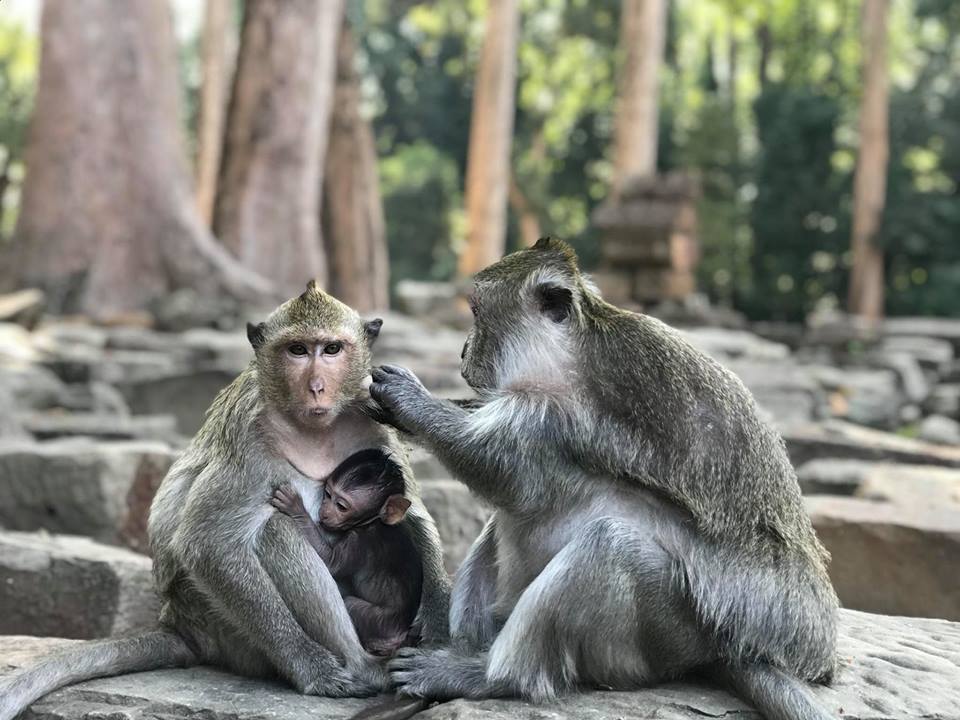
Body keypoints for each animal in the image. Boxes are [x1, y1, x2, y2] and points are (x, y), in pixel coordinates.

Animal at [270, 448, 424, 657]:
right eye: (327, 494)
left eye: (341, 506)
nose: (324, 512)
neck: (375, 521)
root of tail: (401, 633)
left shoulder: (358, 542)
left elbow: (332, 563)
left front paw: (295, 507)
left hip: (380, 623)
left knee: (352, 604)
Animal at [367, 237, 839, 720]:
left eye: (477, 312)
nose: (463, 349)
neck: (572, 356)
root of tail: (720, 653)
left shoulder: (560, 414)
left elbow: (503, 470)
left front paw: (409, 400)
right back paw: (465, 648)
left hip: (671, 635)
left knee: (609, 546)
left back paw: (490, 676)